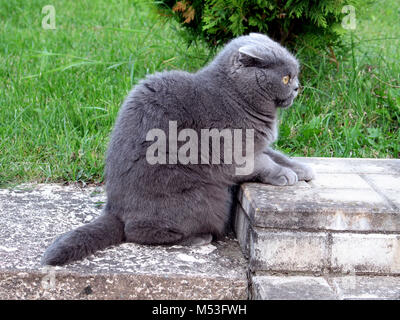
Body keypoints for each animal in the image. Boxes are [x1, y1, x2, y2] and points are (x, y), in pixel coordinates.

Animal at [42, 33, 314, 266]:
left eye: (294, 76)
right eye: (286, 78)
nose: (297, 88)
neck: (237, 97)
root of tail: (114, 210)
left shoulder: (257, 146)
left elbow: (276, 154)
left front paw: (302, 169)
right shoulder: (236, 154)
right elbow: (265, 164)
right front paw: (284, 175)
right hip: (207, 199)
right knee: (137, 231)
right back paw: (198, 238)